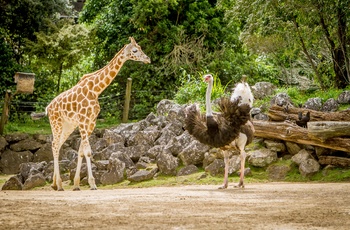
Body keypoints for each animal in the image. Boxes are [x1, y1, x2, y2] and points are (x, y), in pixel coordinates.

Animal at [45, 36, 150, 190]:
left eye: (141, 47)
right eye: (135, 50)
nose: (148, 59)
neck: (96, 90)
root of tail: (48, 108)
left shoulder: (91, 122)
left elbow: (81, 151)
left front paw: (77, 184)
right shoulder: (83, 121)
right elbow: (87, 151)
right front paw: (92, 183)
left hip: (68, 126)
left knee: (57, 145)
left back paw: (54, 183)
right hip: (56, 123)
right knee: (54, 146)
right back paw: (59, 184)